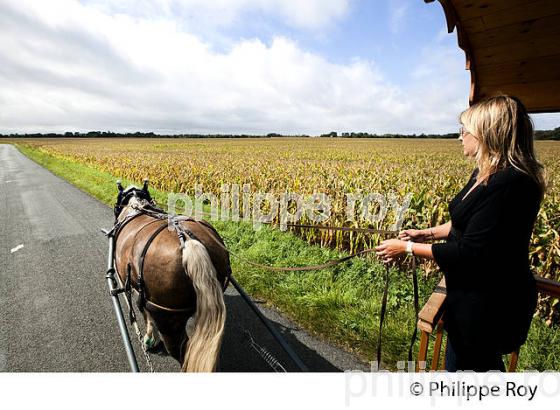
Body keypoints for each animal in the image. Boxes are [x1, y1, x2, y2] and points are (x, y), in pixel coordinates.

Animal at [113, 183, 230, 372]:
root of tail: (188, 241)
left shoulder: (143, 295)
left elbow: (146, 315)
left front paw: (150, 339)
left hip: (168, 318)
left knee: (181, 350)